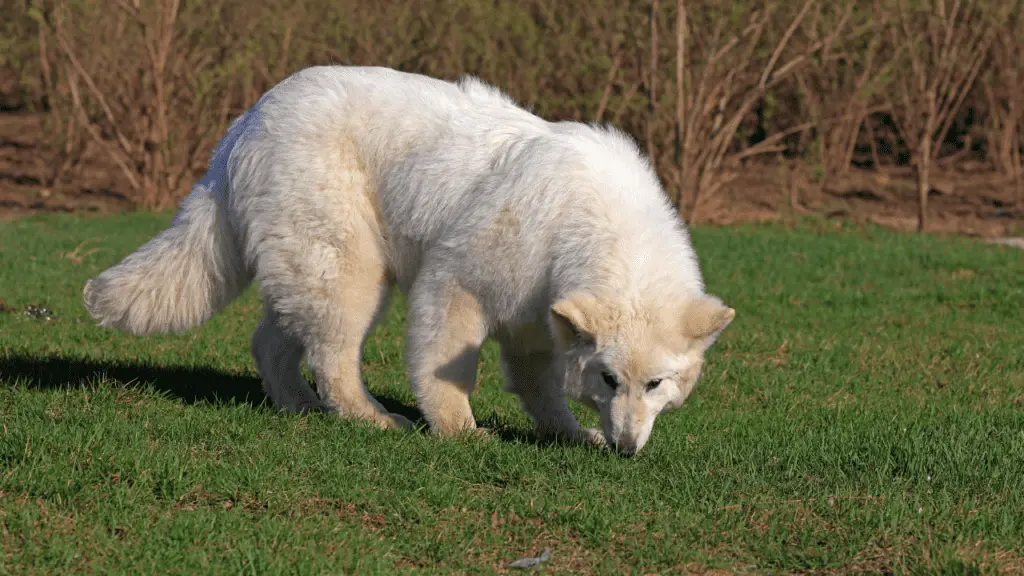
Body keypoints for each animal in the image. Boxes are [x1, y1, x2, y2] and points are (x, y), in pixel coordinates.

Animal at [81, 66, 737, 453]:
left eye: (655, 384)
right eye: (609, 378)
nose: (627, 448)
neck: (588, 224)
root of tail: (244, 124)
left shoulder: (536, 318)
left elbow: (541, 386)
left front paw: (571, 435)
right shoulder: (457, 282)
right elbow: (449, 367)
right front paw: (461, 432)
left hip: (310, 268)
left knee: (273, 342)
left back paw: (299, 407)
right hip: (352, 271)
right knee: (333, 358)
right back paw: (371, 418)